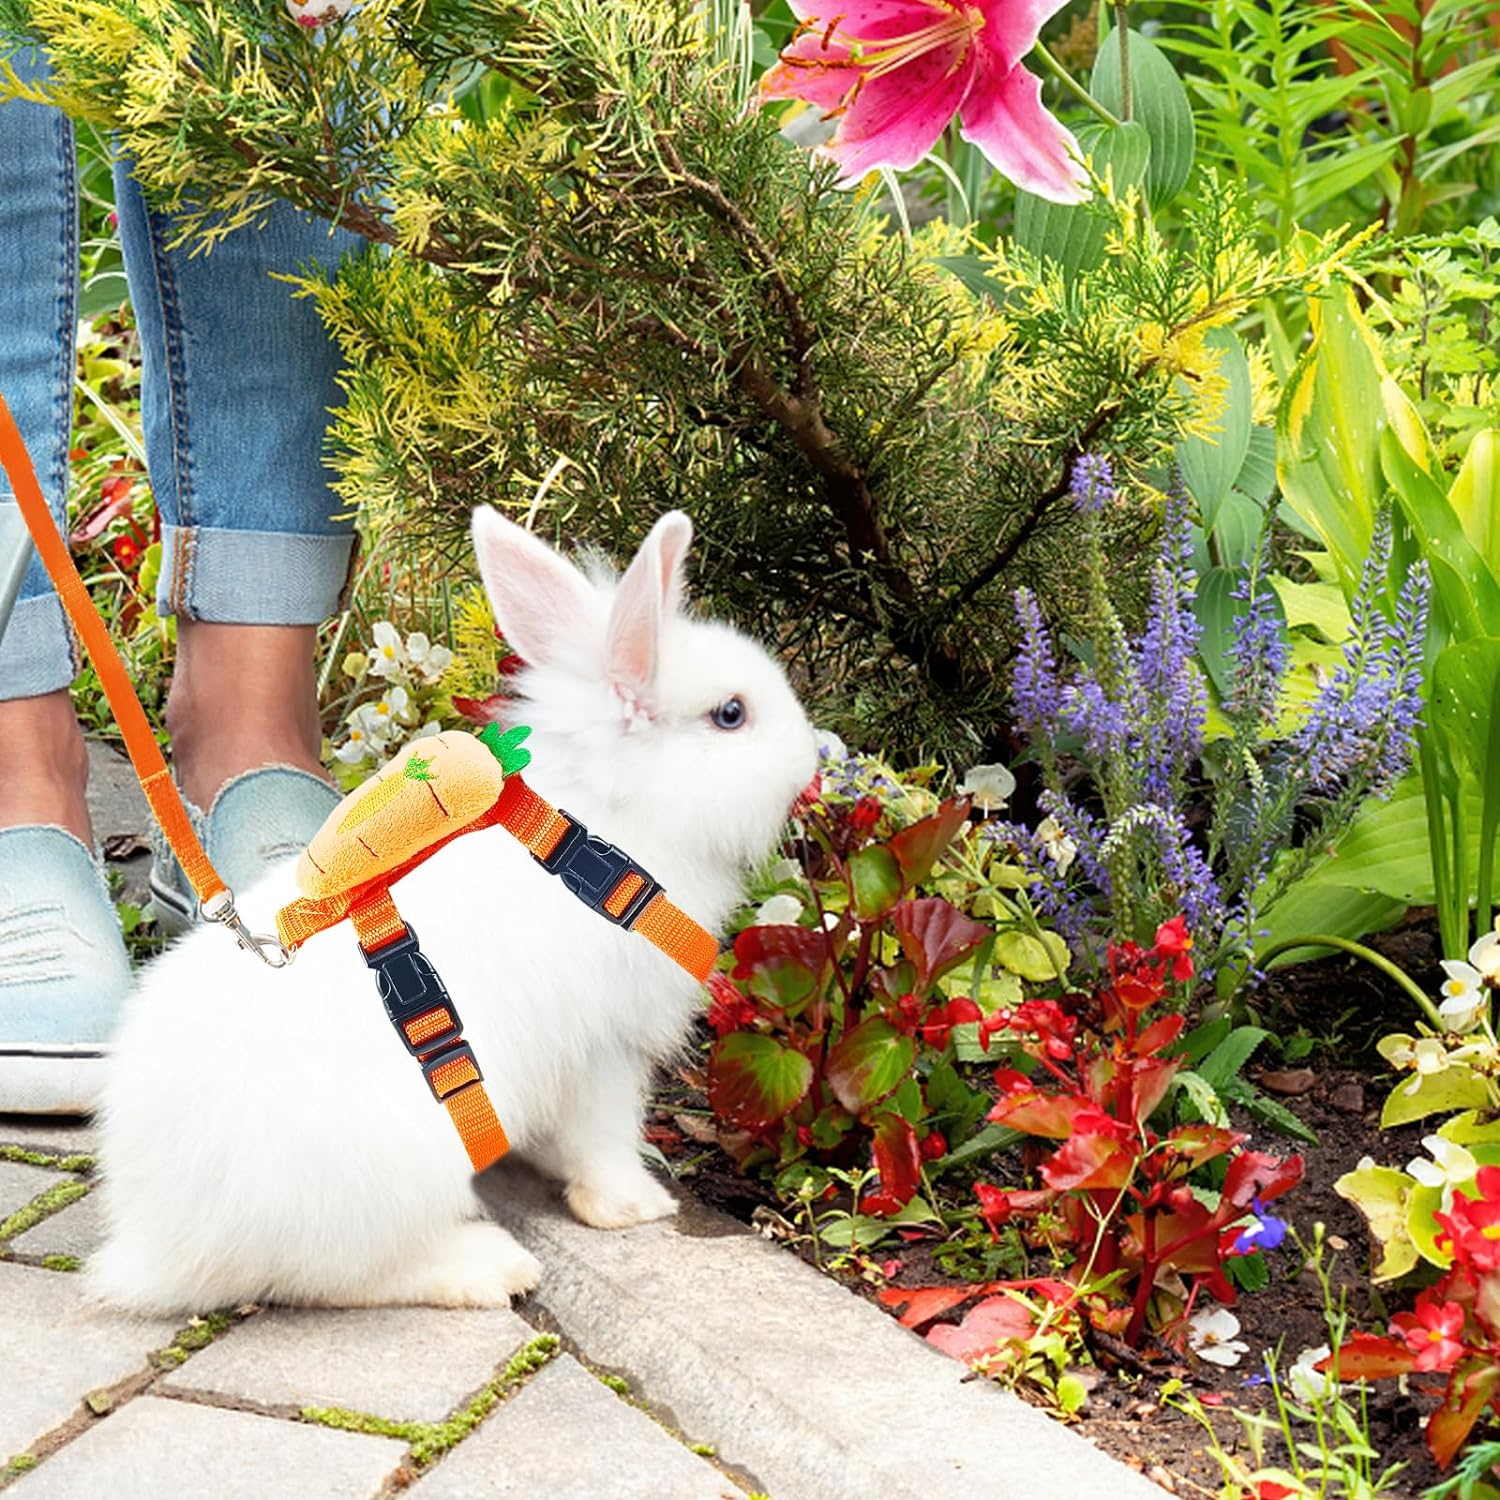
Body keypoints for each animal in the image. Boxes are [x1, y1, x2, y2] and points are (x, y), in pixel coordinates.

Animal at [89, 508, 818, 1314]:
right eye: (731, 715)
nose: (814, 759)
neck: (610, 820)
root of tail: (160, 1245)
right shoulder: (602, 1051)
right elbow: (602, 1139)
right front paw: (634, 1206)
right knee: (343, 1276)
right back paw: (489, 1267)